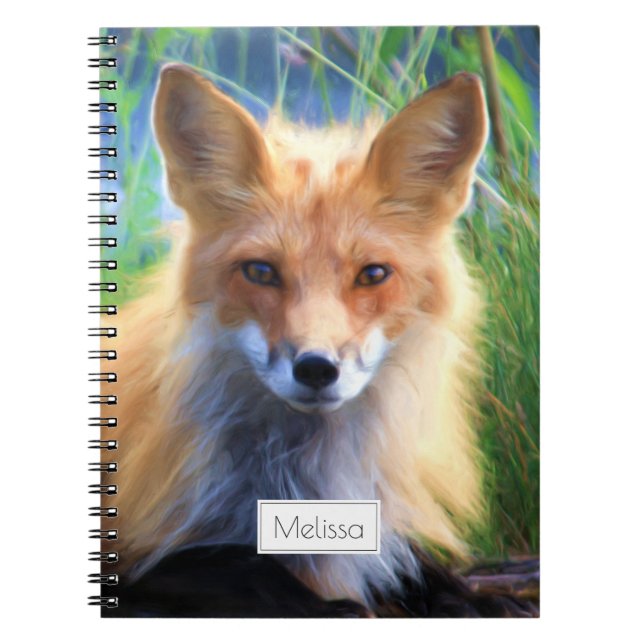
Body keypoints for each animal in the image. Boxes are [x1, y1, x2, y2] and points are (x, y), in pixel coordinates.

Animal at [102, 63, 529, 617]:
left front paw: (474, 598)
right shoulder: (135, 560)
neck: (302, 484)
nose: (316, 368)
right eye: (261, 272)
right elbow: (247, 567)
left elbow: (423, 570)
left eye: (373, 274)